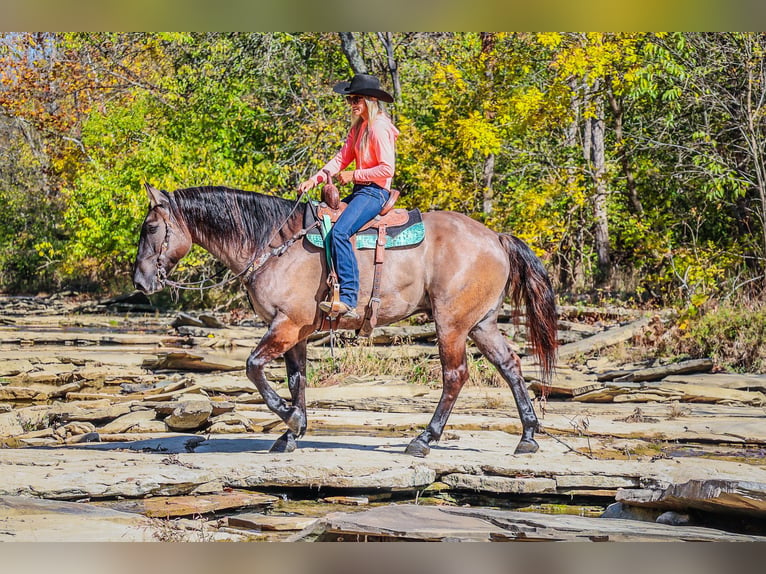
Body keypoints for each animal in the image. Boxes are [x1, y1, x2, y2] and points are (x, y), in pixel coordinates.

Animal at [134, 184, 560, 460]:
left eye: (151, 228)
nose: (139, 282)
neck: (273, 244)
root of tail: (495, 237)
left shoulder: (286, 325)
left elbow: (253, 367)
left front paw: (291, 420)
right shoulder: (297, 333)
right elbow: (297, 381)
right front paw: (292, 433)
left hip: (451, 324)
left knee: (455, 375)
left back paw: (424, 439)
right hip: (481, 323)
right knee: (510, 365)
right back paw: (527, 436)